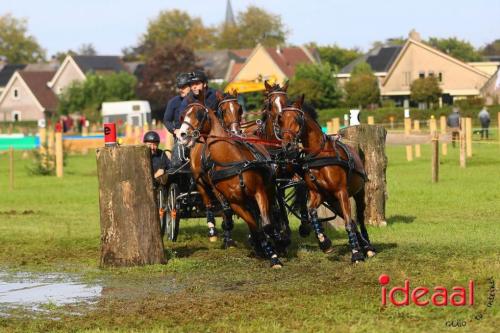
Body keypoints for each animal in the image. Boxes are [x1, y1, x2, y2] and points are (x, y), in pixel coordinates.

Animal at [178, 91, 288, 268]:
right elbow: (254, 226)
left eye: (199, 114)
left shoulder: (259, 192)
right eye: (183, 115)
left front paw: (275, 249)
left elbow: (266, 224)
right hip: (200, 182)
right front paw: (265, 249)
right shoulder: (235, 202)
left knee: (273, 212)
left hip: (268, 189)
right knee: (209, 203)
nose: (182, 135)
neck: (230, 160)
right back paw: (215, 230)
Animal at [278, 94, 376, 262]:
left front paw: (356, 253)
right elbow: (312, 212)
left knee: (360, 218)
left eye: (297, 119)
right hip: (333, 201)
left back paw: (367, 246)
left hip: (357, 193)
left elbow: (348, 222)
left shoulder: (341, 192)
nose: (287, 146)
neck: (319, 155)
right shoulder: (317, 194)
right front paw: (324, 242)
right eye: (280, 120)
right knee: (349, 219)